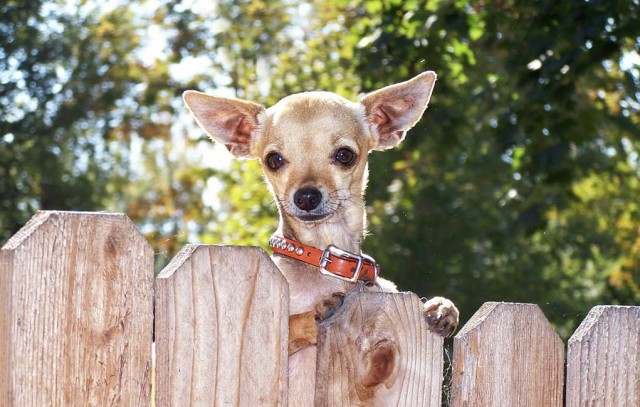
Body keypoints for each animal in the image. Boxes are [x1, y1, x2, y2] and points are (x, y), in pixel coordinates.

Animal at [182, 71, 458, 406]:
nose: (306, 197)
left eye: (344, 155)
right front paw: (317, 314)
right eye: (273, 160)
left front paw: (442, 308)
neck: (327, 260)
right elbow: (292, 323)